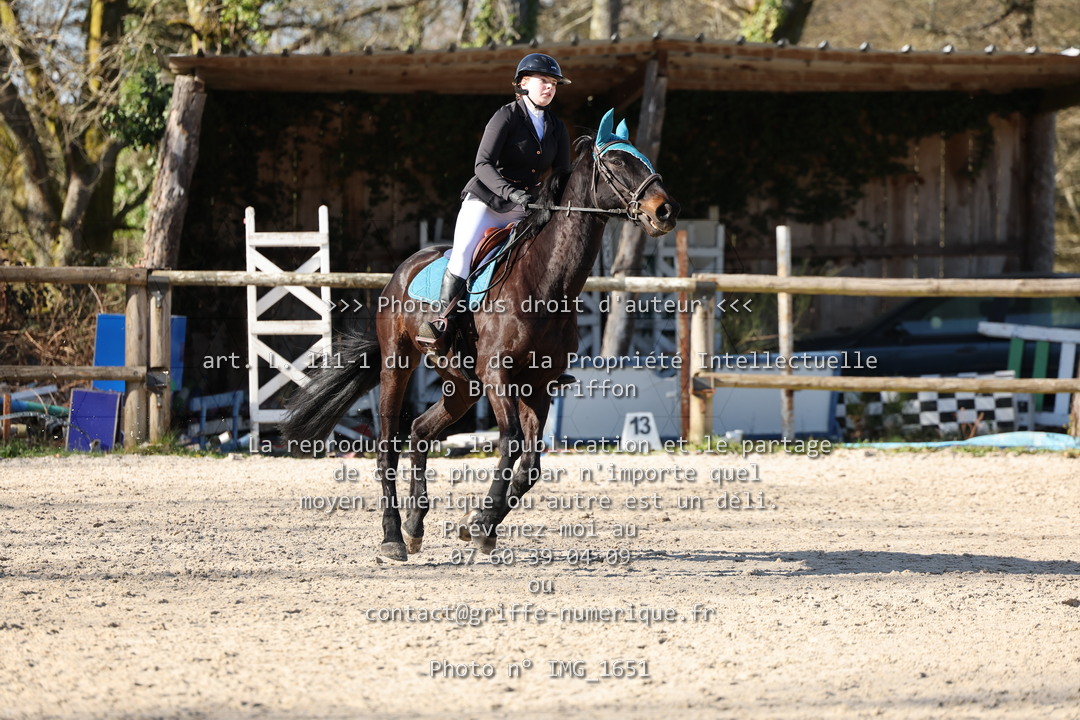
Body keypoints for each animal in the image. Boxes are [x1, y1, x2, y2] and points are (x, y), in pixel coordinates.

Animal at [282, 109, 680, 561]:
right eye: (616, 162)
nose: (666, 210)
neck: (546, 280)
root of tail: (402, 271)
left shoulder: (538, 384)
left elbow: (530, 466)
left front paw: (477, 524)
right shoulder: (497, 375)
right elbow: (510, 444)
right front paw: (483, 522)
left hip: (461, 385)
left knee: (420, 431)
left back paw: (415, 526)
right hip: (399, 365)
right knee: (388, 447)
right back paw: (393, 537)